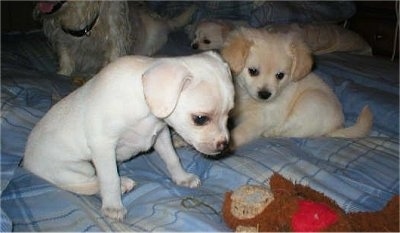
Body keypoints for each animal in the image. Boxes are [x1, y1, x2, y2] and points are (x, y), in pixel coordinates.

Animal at [22, 51, 234, 220]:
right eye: (200, 119)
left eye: (230, 114)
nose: (224, 145)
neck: (143, 101)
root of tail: (25, 162)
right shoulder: (103, 146)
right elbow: (109, 179)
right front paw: (113, 206)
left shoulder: (161, 134)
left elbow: (172, 159)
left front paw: (182, 178)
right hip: (77, 168)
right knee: (89, 183)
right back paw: (122, 184)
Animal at [220, 27, 374, 147]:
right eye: (253, 71)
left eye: (280, 75)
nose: (265, 94)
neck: (248, 99)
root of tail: (337, 126)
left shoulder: (257, 121)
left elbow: (239, 133)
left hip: (310, 102)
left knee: (295, 131)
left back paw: (271, 132)